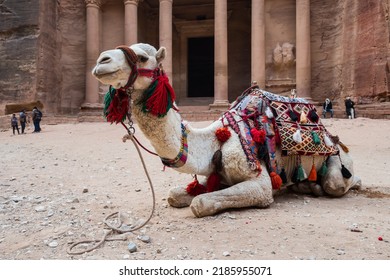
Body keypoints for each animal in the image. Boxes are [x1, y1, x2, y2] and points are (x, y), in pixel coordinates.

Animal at [93, 43, 362, 218]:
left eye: (141, 57)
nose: (101, 61)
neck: (216, 139)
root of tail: (335, 140)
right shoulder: (215, 174)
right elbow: (173, 194)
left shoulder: (259, 181)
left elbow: (200, 203)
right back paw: (304, 186)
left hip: (338, 163)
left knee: (338, 183)